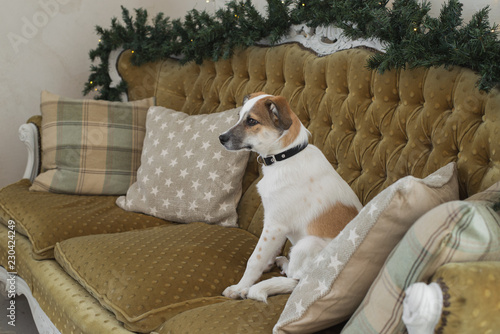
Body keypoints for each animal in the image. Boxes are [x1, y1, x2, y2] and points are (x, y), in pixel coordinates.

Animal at [217, 92, 362, 302]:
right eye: (239, 116)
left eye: (251, 121)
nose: (221, 138)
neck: (285, 157)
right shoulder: (276, 226)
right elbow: (271, 250)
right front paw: (267, 263)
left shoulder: (274, 225)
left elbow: (255, 259)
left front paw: (240, 288)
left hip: (307, 244)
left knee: (295, 276)